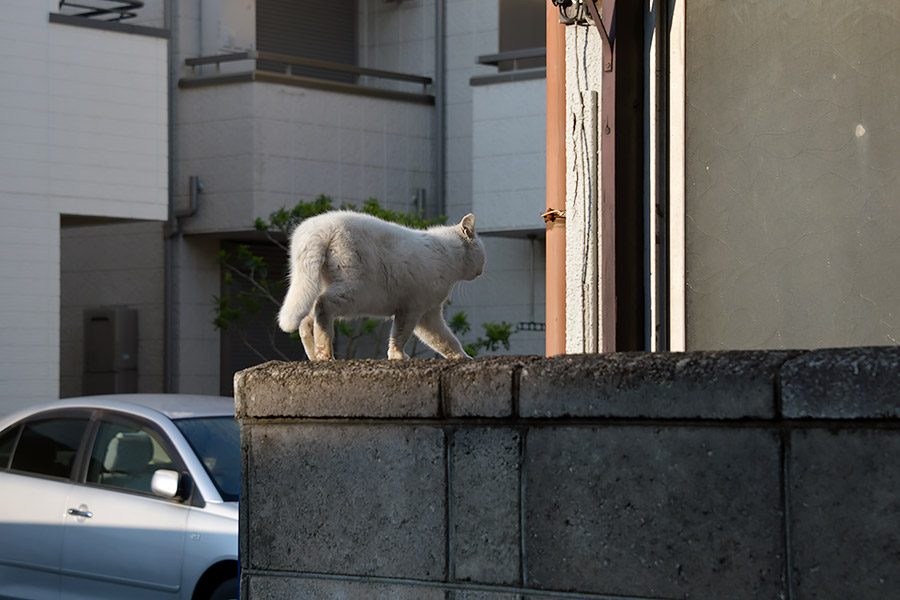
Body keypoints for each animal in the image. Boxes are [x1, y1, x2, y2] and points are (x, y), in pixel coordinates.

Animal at [278, 211, 486, 360]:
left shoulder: (428, 314)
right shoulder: (413, 309)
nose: (482, 270)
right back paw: (324, 353)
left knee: (306, 318)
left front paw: (463, 357)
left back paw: (314, 354)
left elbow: (445, 340)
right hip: (355, 291)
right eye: (482, 254)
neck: (447, 254)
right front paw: (397, 356)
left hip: (318, 285)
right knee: (322, 305)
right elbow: (401, 335)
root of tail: (318, 228)